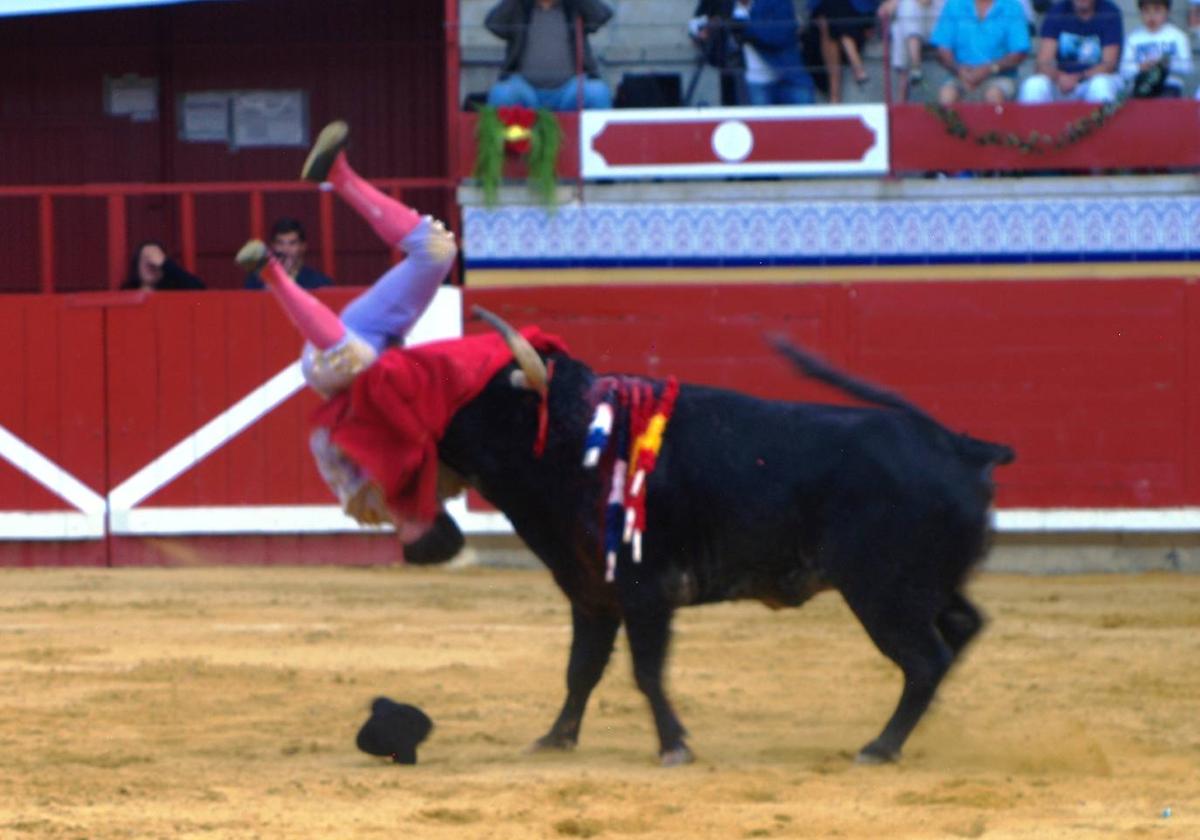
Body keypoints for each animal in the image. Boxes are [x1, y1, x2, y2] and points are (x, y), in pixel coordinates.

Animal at [432, 324, 1012, 768]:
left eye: (471, 395)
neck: (578, 438)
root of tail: (960, 445)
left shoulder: (645, 591)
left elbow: (645, 670)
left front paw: (673, 746)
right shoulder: (592, 592)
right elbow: (582, 670)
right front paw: (555, 740)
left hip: (883, 592)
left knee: (926, 659)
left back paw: (880, 747)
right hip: (924, 586)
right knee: (961, 628)